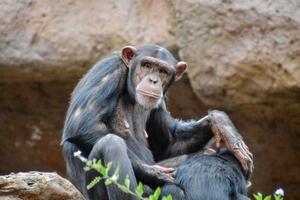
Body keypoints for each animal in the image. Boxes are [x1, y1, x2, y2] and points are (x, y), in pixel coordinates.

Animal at [61, 44, 253, 199]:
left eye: (163, 71)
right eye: (147, 65)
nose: (153, 80)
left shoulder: (162, 99)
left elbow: (170, 143)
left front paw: (223, 126)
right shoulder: (107, 72)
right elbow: (83, 124)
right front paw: (153, 172)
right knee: (111, 143)